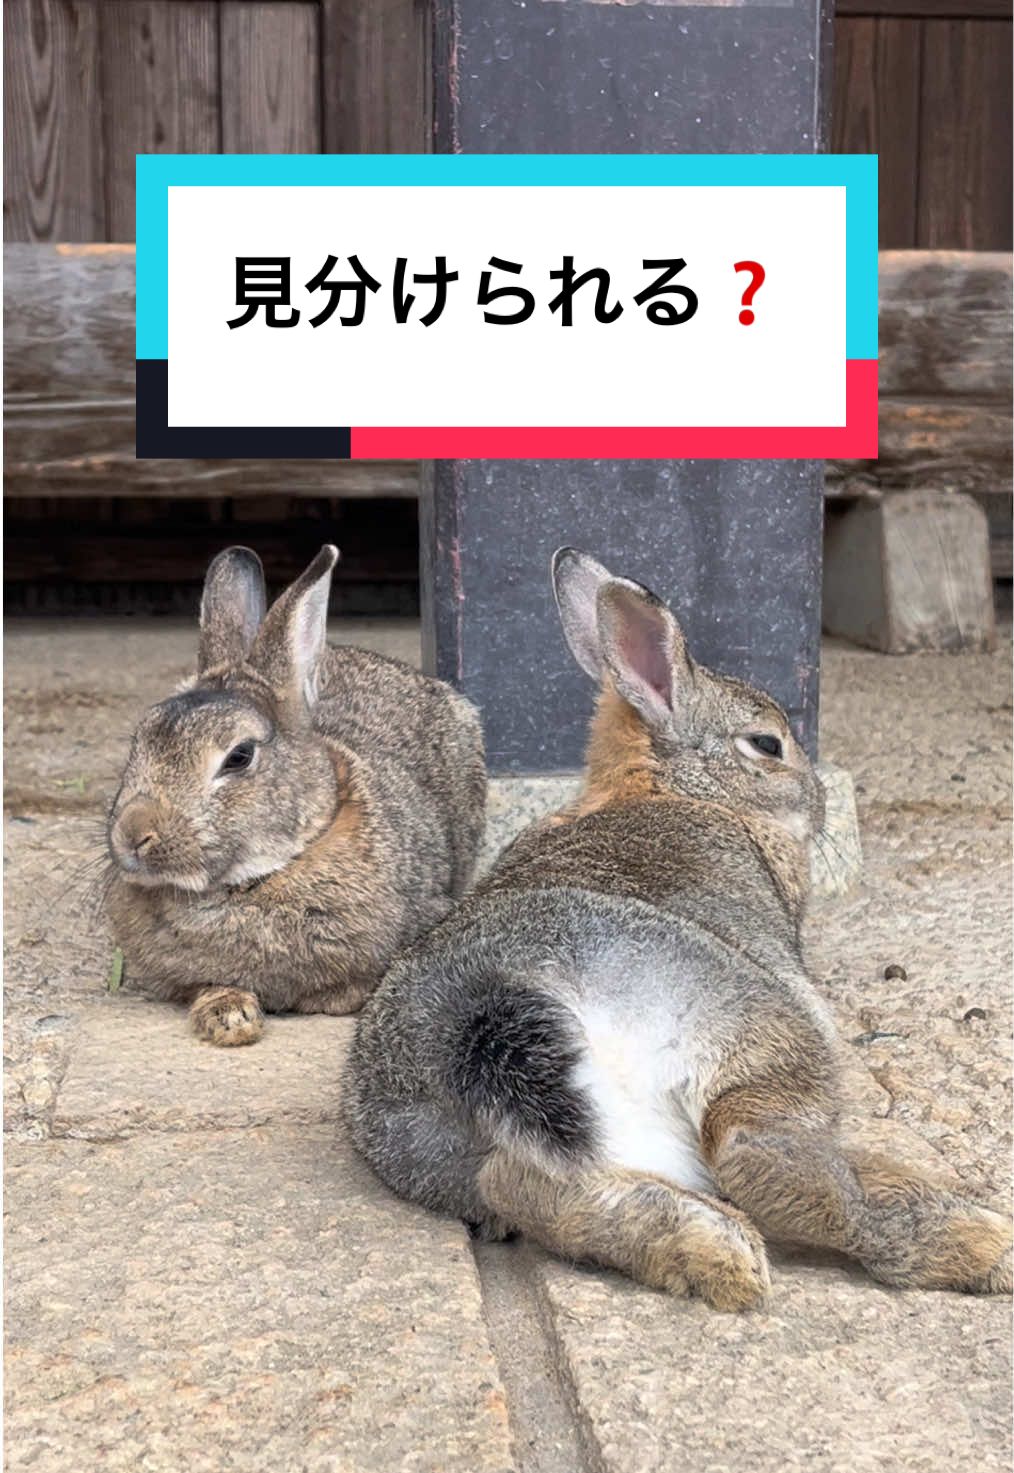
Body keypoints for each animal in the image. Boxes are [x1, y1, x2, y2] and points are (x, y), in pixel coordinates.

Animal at [344, 547, 1012, 1310]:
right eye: (767, 744)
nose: (815, 799)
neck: (672, 787)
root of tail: (484, 1004)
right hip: (753, 1029)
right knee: (756, 1153)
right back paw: (972, 1242)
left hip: (463, 1152)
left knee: (525, 1187)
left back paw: (708, 1250)